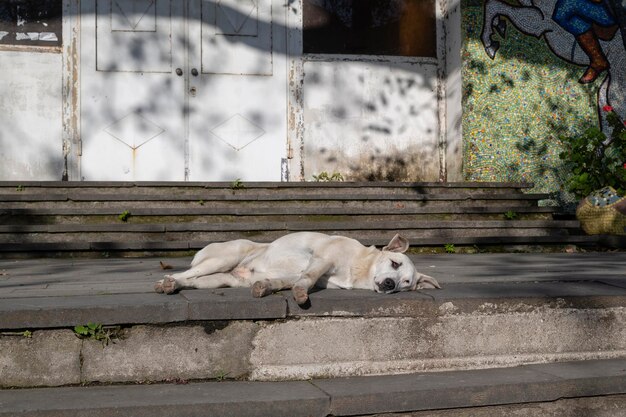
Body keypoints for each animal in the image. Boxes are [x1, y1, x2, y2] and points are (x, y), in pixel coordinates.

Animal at [155, 231, 438, 302]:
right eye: (394, 262)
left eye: (406, 283)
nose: (390, 284)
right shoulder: (320, 261)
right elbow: (308, 279)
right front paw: (301, 295)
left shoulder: (301, 274)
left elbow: (285, 281)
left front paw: (265, 286)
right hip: (225, 257)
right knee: (184, 272)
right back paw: (166, 281)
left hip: (222, 279)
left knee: (192, 281)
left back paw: (173, 286)